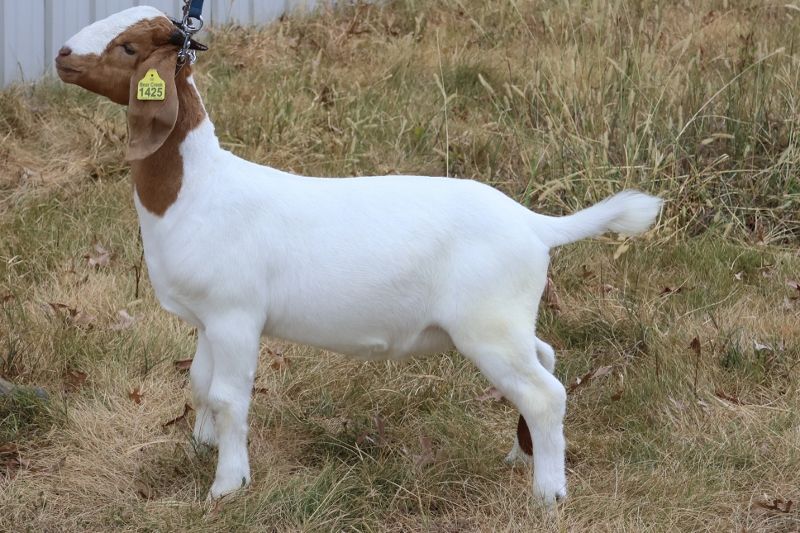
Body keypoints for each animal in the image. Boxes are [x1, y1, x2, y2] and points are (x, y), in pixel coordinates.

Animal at [56, 6, 661, 504]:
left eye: (128, 47)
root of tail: (535, 225)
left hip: (488, 325)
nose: (62, 56)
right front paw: (200, 448)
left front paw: (227, 486)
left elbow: (229, 398)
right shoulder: (207, 319)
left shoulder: (234, 316)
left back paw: (548, 493)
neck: (197, 187)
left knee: (545, 393)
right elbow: (201, 385)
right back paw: (521, 455)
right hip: (505, 320)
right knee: (544, 358)